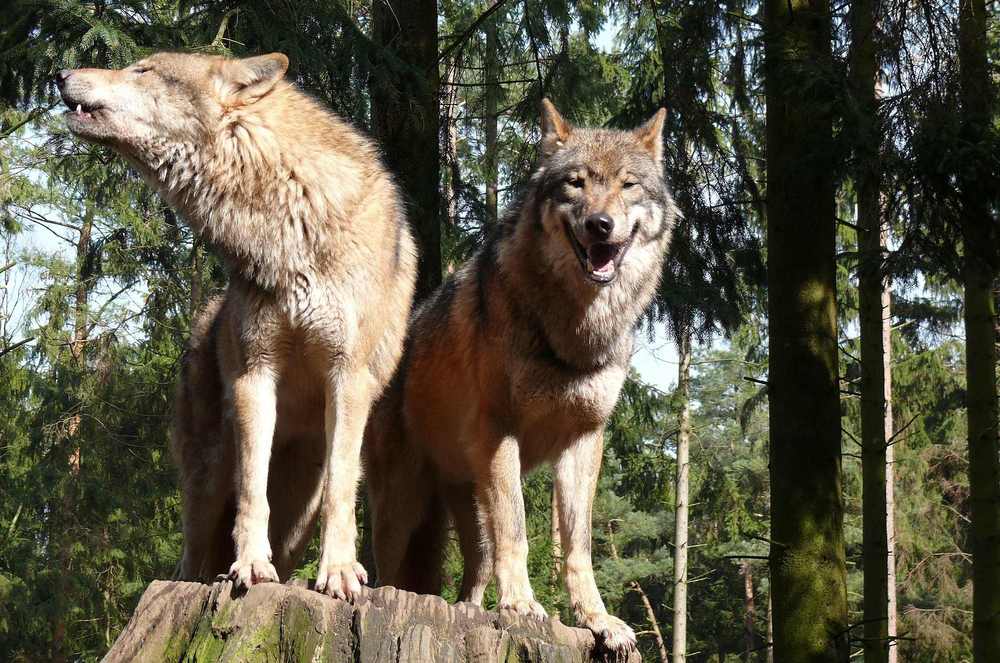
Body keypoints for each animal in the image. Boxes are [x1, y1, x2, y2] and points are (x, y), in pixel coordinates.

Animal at [56, 52, 416, 600]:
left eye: (144, 71)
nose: (60, 74)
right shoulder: (254, 375)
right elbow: (252, 488)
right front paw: (249, 564)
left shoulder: (348, 378)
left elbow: (341, 488)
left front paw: (337, 571)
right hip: (205, 481)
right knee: (193, 555)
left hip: (298, 514)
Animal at [364, 98, 676, 652]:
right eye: (575, 183)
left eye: (627, 185)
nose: (600, 224)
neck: (574, 330)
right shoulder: (500, 431)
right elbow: (519, 530)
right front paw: (521, 606)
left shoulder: (584, 440)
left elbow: (577, 546)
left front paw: (598, 620)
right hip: (400, 506)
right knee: (388, 569)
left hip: (465, 507)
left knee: (474, 573)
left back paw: (469, 609)